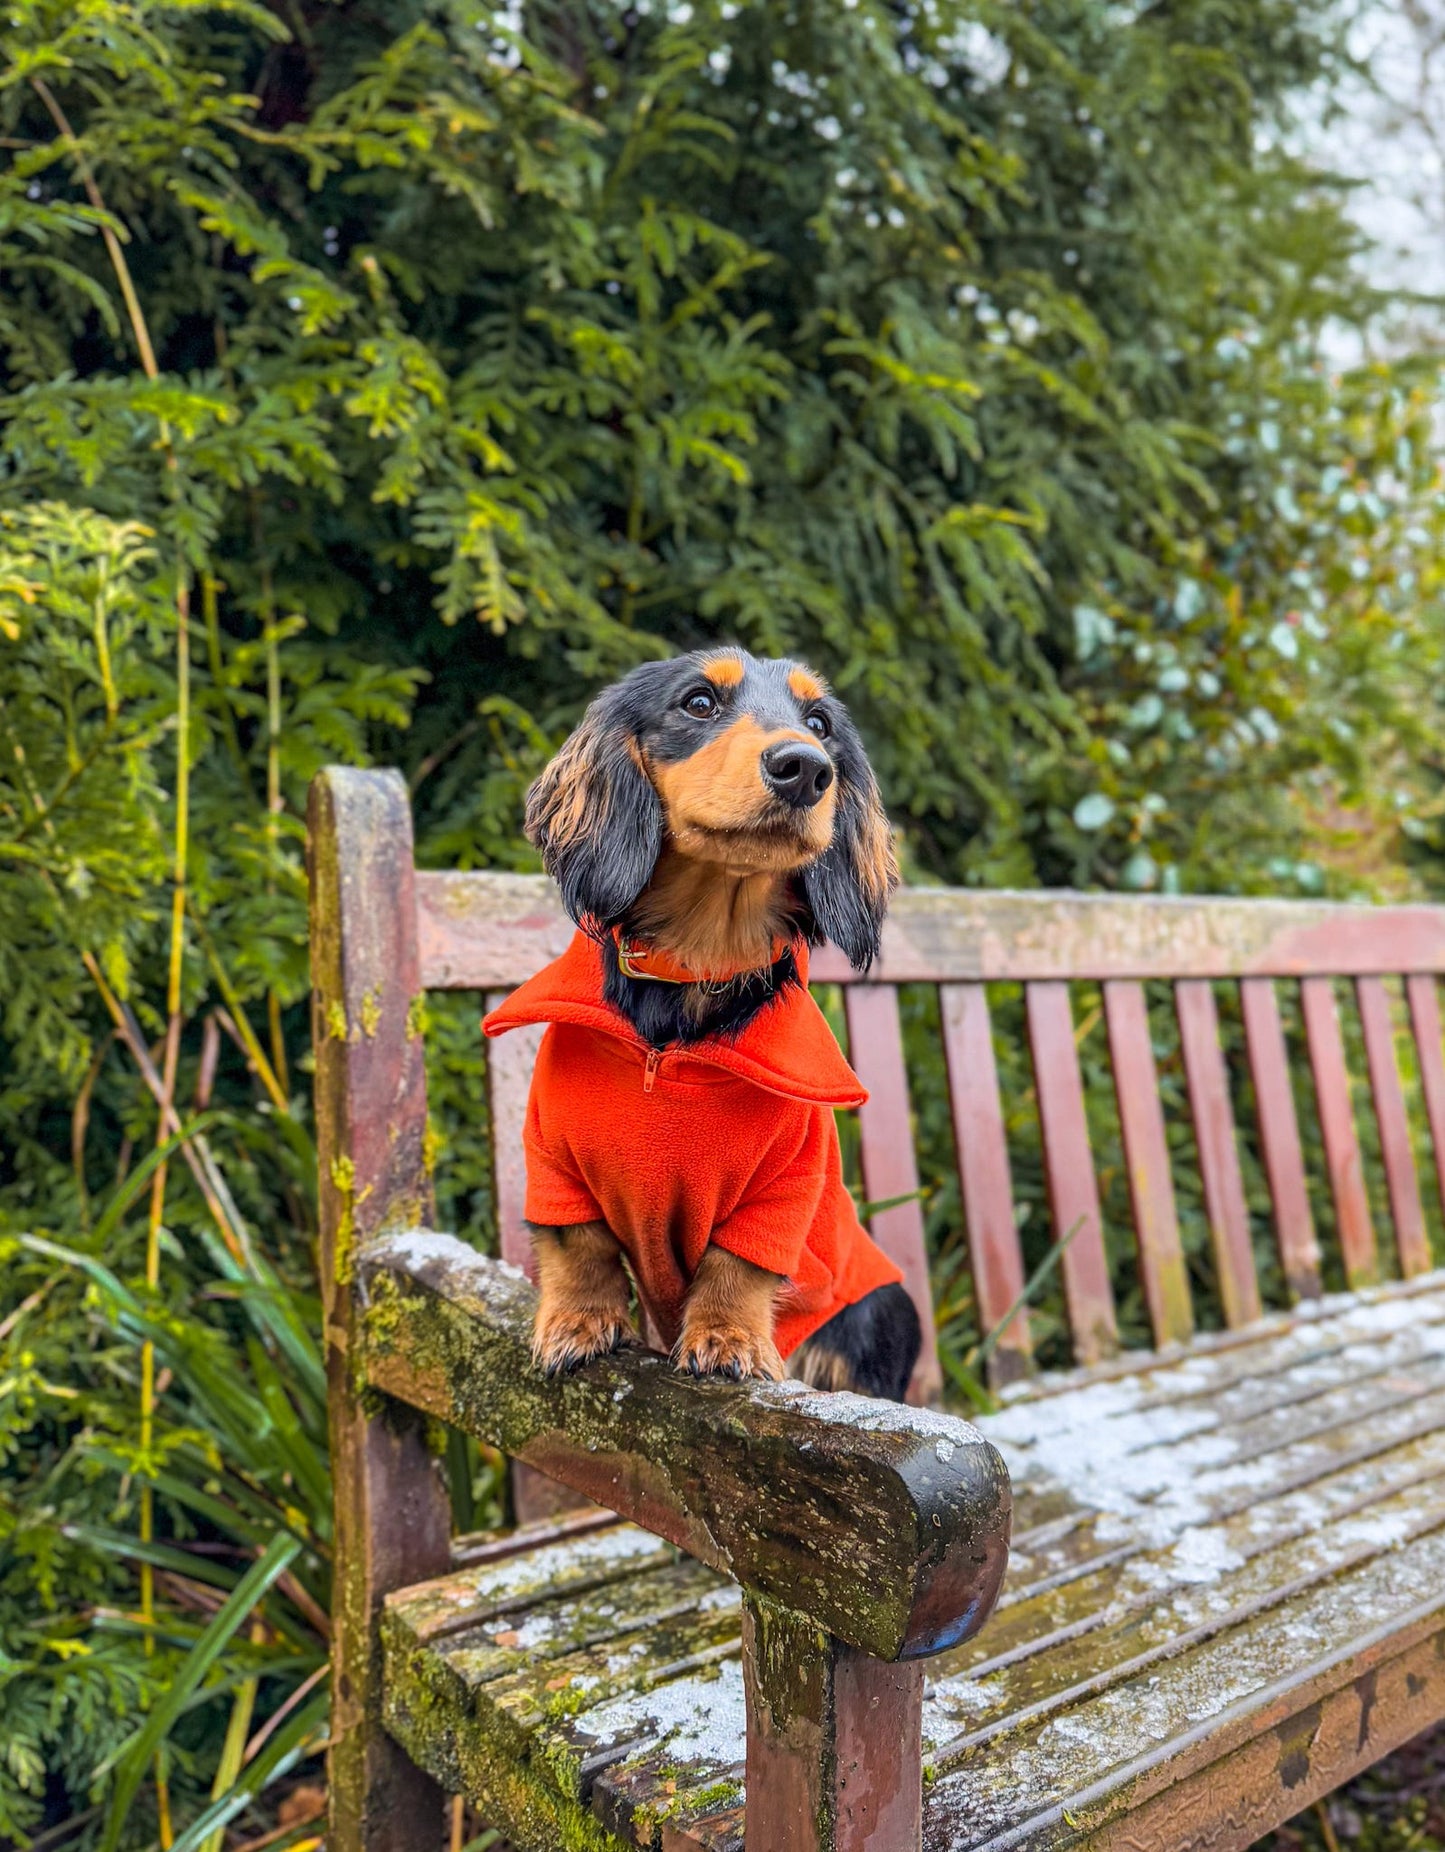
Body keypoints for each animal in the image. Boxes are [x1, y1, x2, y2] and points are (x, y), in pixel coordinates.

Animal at [477, 644, 918, 1392]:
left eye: (820, 723)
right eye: (699, 703)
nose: (805, 768)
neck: (693, 971)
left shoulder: (784, 1185)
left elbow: (737, 1265)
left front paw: (727, 1339)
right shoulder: (552, 1162)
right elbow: (578, 1247)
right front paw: (577, 1324)